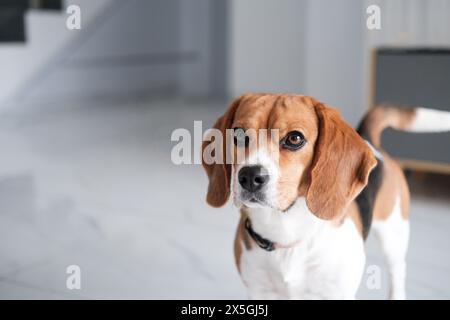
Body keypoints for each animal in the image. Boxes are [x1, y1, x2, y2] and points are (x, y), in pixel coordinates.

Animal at [202, 93, 450, 300]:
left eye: (294, 139)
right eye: (238, 134)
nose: (249, 176)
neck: (286, 231)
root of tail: (369, 141)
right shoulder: (260, 292)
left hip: (394, 235)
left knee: (397, 272)